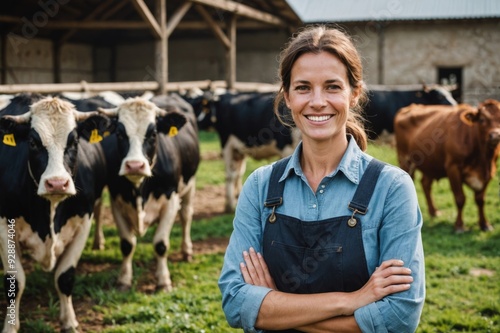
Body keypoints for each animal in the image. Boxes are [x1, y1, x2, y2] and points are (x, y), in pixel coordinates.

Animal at [0, 92, 109, 330]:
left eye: (74, 141)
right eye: (33, 142)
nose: (57, 183)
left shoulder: (84, 222)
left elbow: (65, 277)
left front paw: (69, 322)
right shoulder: (3, 226)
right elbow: (15, 281)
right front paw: (10, 326)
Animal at [97, 95, 199, 290]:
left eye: (153, 134)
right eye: (119, 134)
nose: (135, 165)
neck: (139, 189)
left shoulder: (171, 200)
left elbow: (160, 244)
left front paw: (164, 281)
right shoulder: (117, 201)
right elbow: (127, 244)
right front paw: (124, 280)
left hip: (190, 185)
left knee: (186, 216)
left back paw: (187, 250)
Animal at [394, 100, 500, 232]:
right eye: (482, 119)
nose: (496, 135)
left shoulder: (489, 172)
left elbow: (480, 199)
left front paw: (485, 224)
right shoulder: (453, 168)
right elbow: (460, 198)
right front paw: (459, 226)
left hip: (431, 164)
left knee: (425, 184)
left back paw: (434, 211)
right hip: (405, 160)